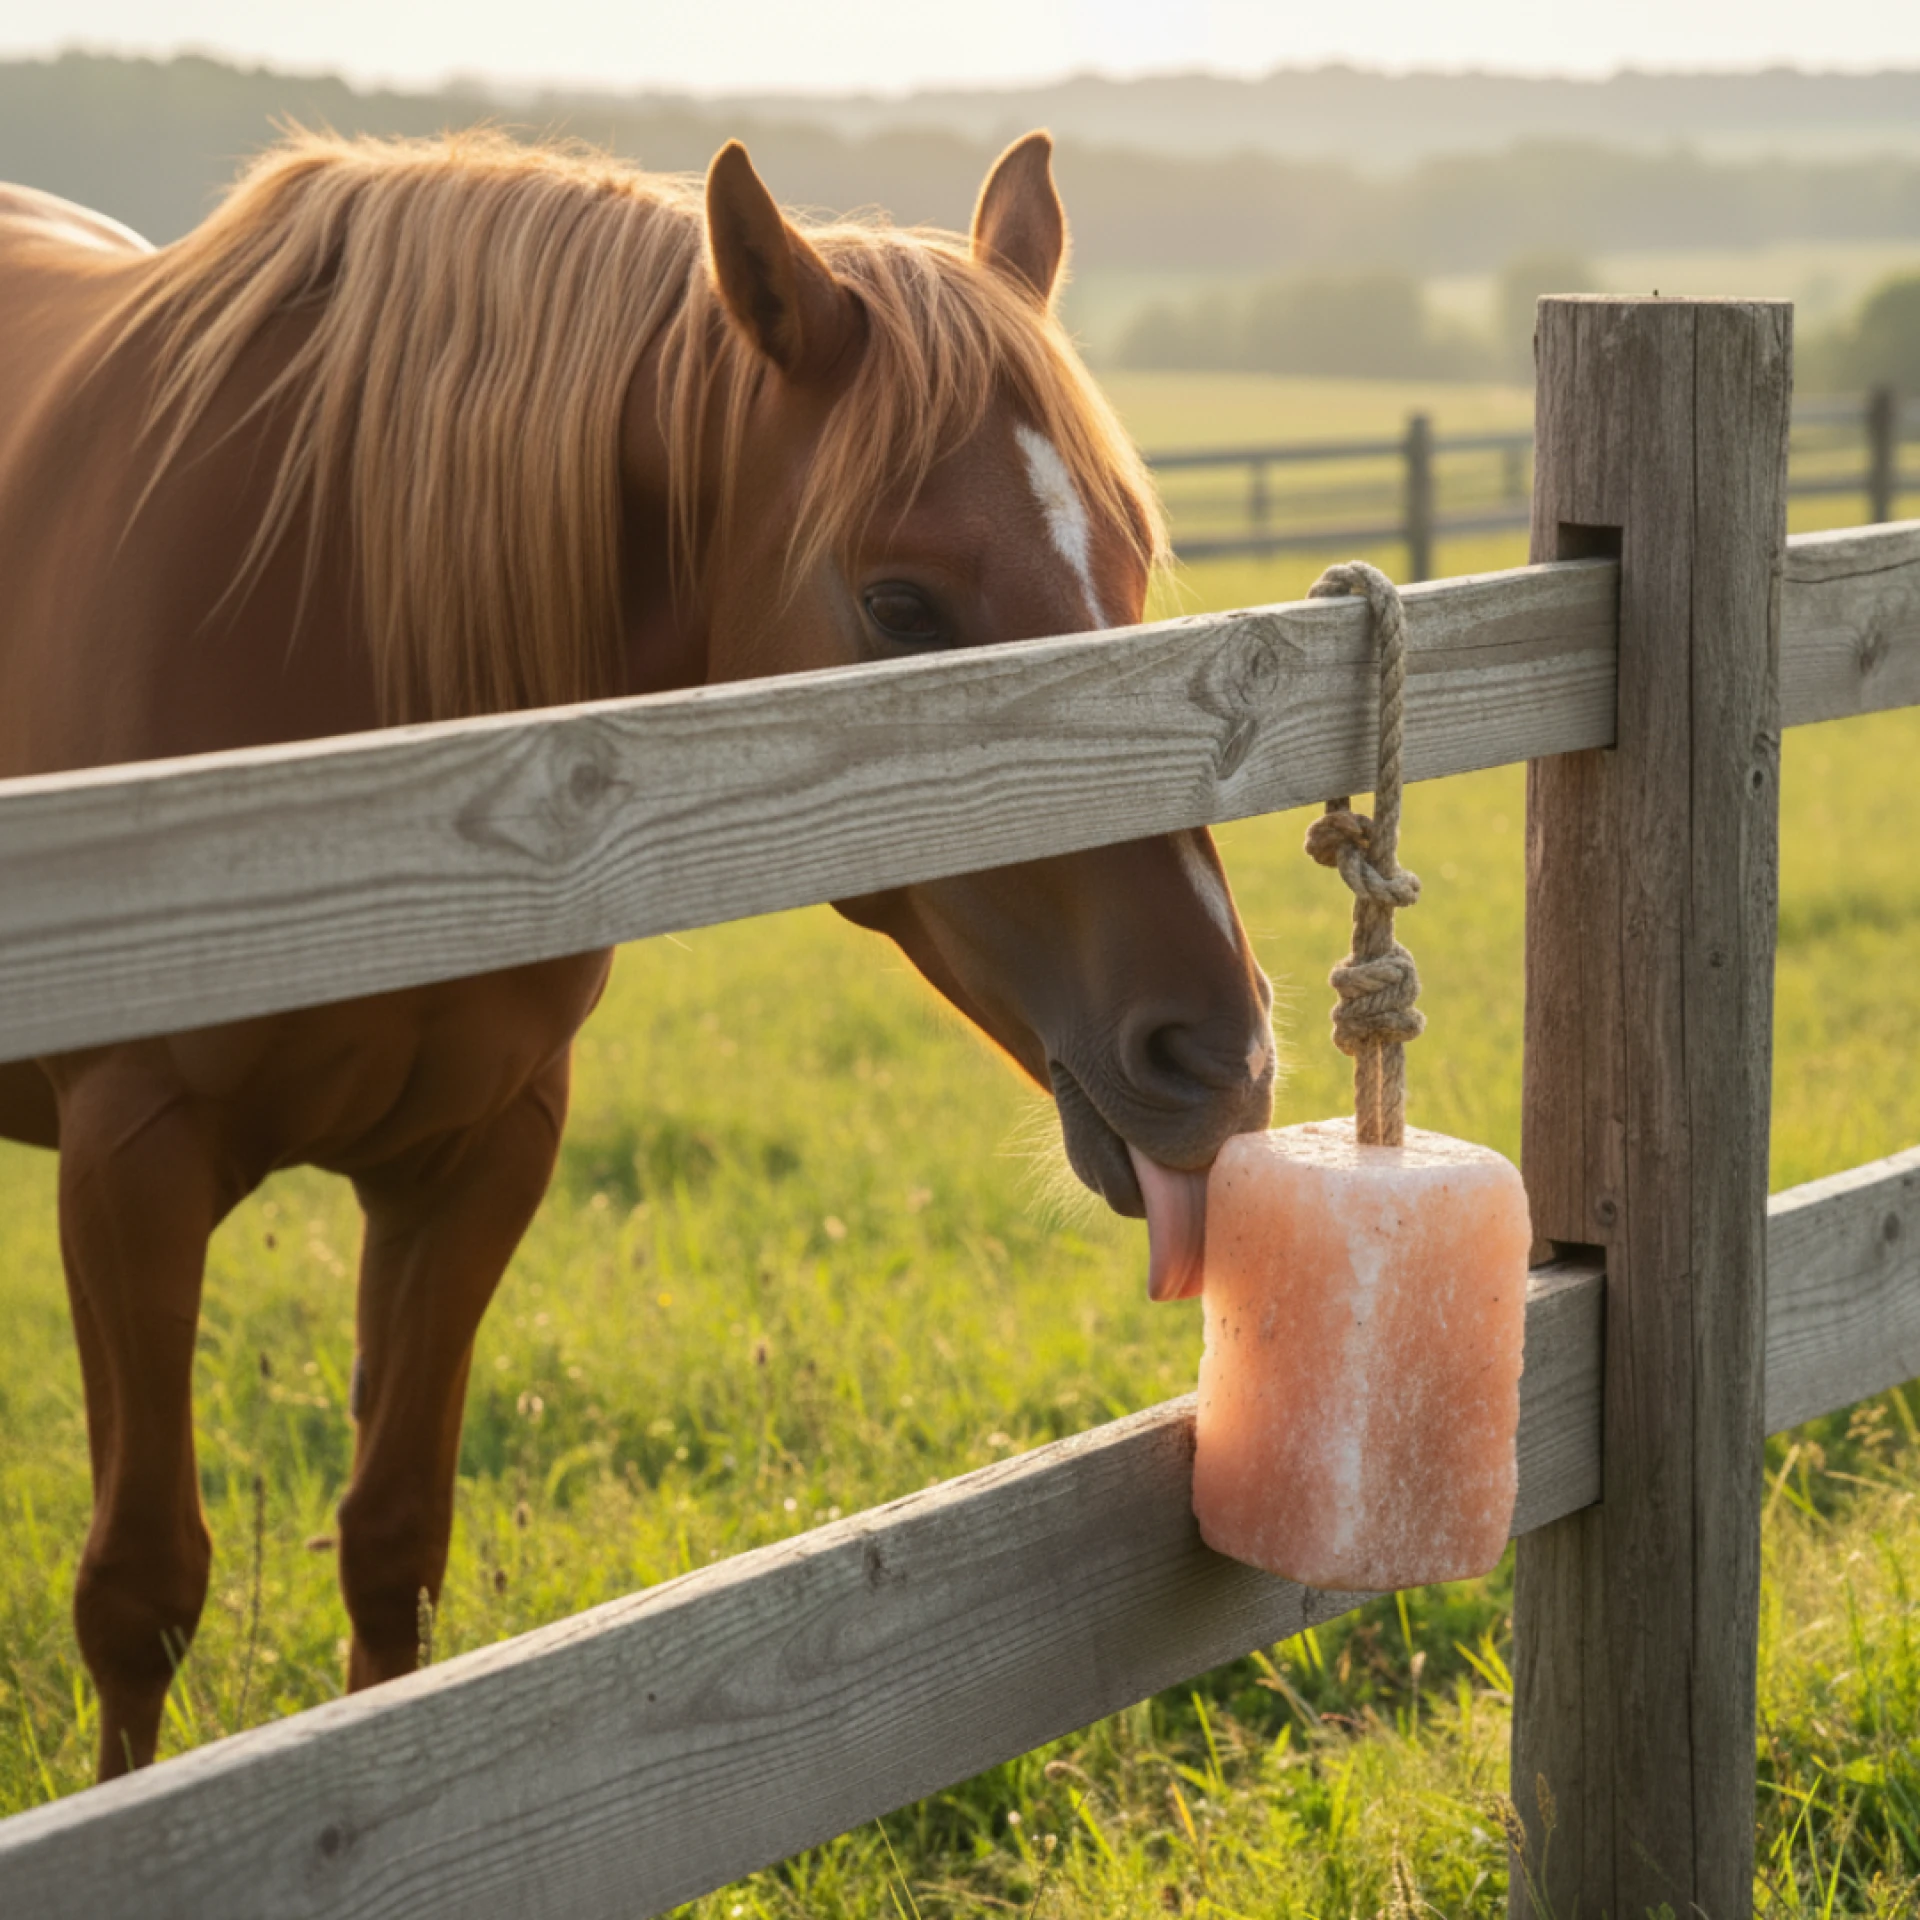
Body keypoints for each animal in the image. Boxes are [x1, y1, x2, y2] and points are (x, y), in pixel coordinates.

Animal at [0, 126, 1274, 1781]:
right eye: (899, 603)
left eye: (1128, 570)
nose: (1216, 1054)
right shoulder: (132, 1169)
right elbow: (141, 1593)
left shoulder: (475, 1156)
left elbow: (394, 1544)